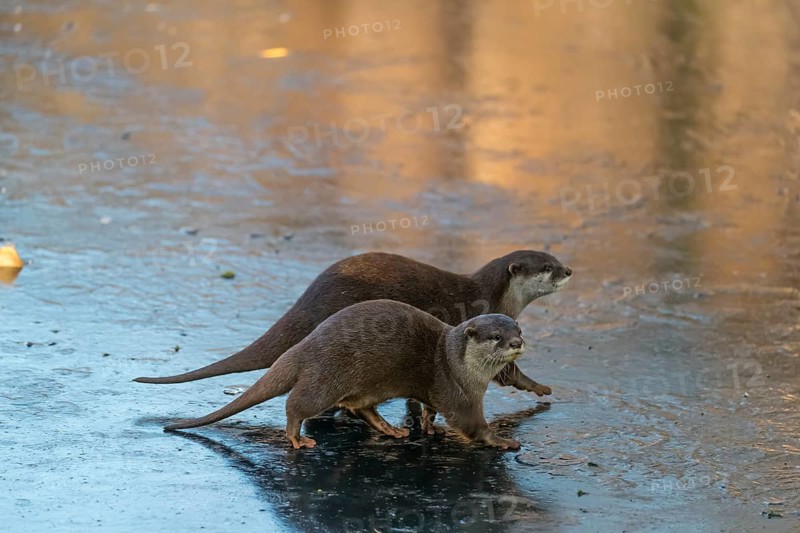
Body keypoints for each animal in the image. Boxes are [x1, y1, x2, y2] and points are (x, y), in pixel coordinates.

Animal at [135, 250, 572, 396]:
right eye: (546, 267)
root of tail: (307, 302)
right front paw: (539, 388)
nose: (569, 270)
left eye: (555, 257)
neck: (491, 295)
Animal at [164, 300, 527, 450]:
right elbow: (472, 424)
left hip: (368, 385)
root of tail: (303, 347)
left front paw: (426, 426)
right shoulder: (457, 392)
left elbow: (428, 408)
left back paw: (391, 430)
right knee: (296, 405)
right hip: (325, 379)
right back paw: (297, 438)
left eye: (518, 329)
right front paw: (501, 440)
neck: (456, 364)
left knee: (360, 407)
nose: (517, 342)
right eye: (496, 336)